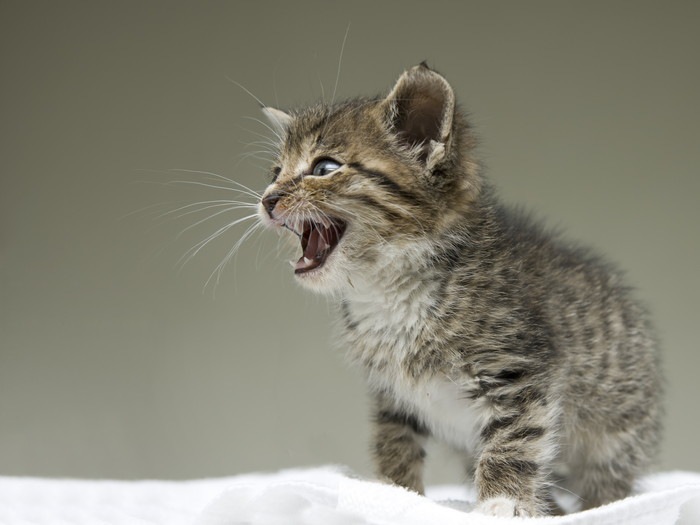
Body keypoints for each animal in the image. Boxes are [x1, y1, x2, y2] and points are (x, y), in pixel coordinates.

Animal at [256, 62, 660, 516]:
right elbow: (394, 442)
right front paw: (394, 495)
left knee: (605, 480)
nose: (267, 199)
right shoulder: (393, 395)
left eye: (325, 168)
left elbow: (513, 443)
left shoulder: (518, 372)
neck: (391, 291)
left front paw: (501, 503)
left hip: (617, 431)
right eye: (275, 173)